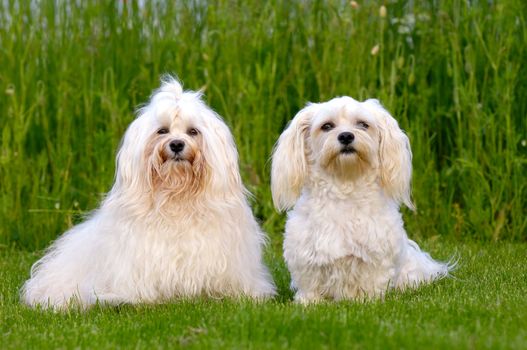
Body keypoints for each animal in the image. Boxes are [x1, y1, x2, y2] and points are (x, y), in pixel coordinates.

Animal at [272, 96, 454, 304]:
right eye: (327, 126)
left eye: (362, 124)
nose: (345, 136)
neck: (344, 185)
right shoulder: (307, 256)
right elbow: (311, 284)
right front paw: (309, 302)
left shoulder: (375, 257)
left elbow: (371, 282)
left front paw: (366, 300)